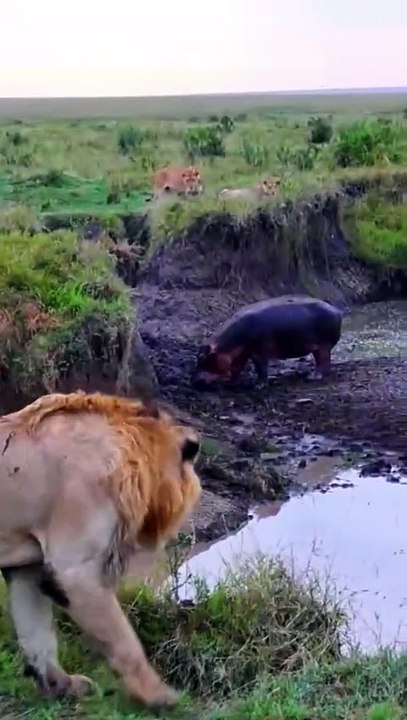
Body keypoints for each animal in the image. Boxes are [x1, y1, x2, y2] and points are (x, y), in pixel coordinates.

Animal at [0, 390, 202, 709]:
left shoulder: (25, 567)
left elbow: (36, 633)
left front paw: (63, 686)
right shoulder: (75, 570)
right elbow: (125, 642)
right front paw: (159, 696)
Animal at [192, 295, 343, 388]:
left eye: (204, 357)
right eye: (197, 356)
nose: (194, 381)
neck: (225, 344)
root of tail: (337, 310)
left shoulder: (258, 351)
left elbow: (261, 367)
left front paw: (258, 386)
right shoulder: (241, 352)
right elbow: (236, 367)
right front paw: (231, 382)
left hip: (323, 346)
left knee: (323, 362)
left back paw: (313, 377)